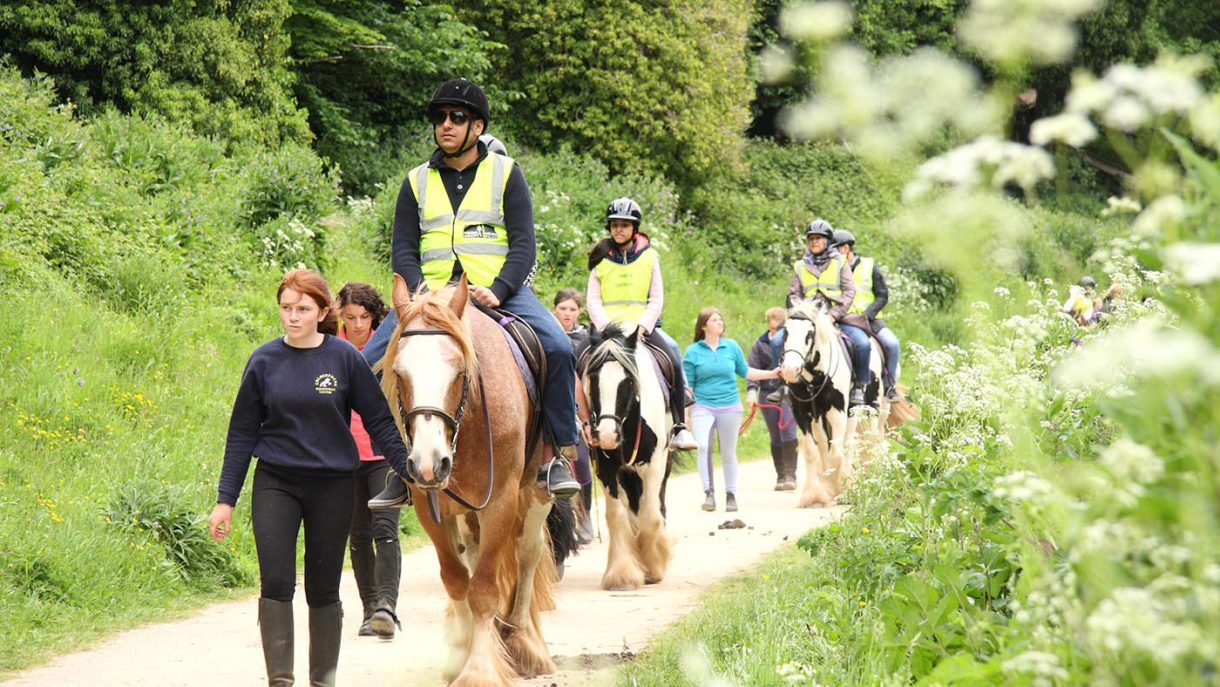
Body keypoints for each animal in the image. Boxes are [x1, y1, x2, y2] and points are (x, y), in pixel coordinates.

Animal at [382, 274, 557, 686]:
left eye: (459, 372)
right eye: (399, 373)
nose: (430, 463)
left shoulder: (501, 502)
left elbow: (484, 589)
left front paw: (478, 670)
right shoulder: (430, 506)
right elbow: (458, 579)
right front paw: (461, 656)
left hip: (536, 492)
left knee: (528, 551)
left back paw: (524, 641)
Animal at [579, 323, 674, 591]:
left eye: (628, 382)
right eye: (593, 379)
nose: (607, 435)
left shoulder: (653, 465)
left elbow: (651, 516)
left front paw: (654, 566)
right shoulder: (607, 468)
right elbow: (617, 515)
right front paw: (622, 575)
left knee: (656, 505)